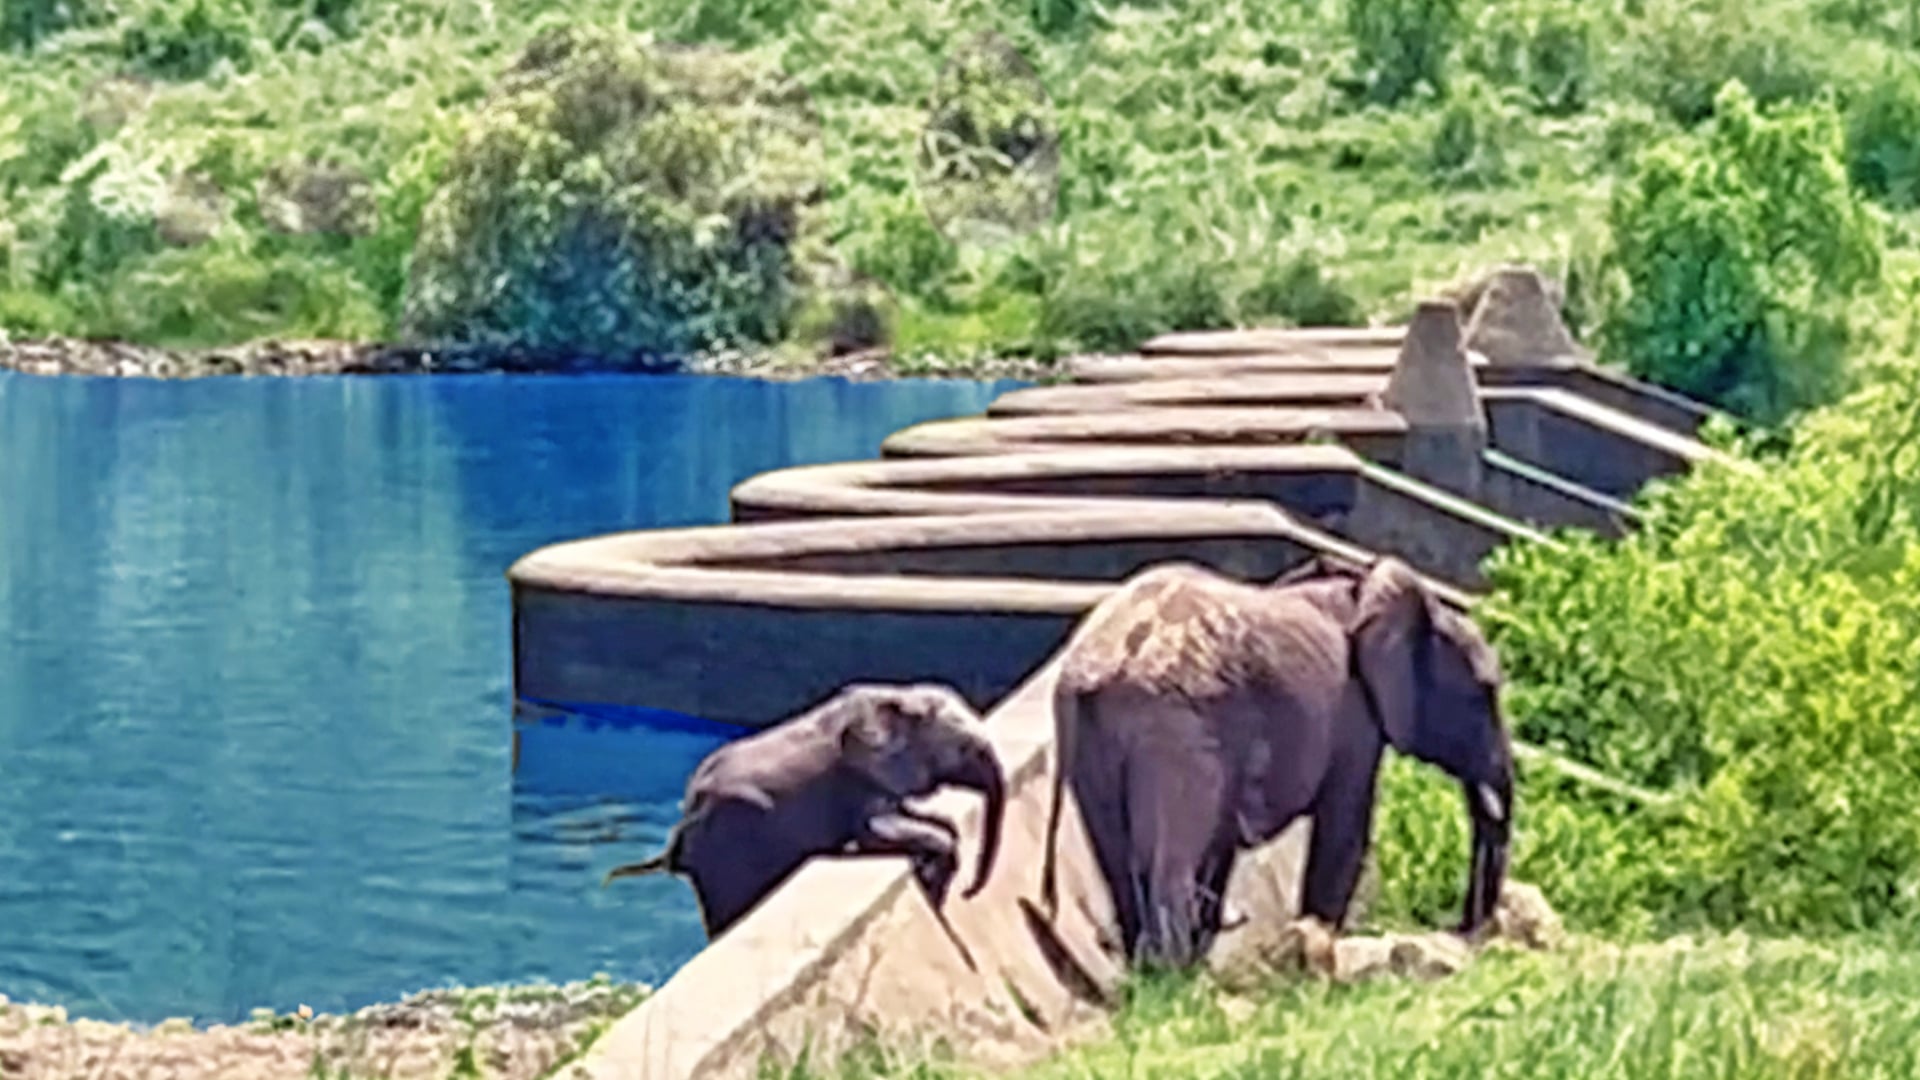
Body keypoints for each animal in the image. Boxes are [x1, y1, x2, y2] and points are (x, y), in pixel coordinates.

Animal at [602, 681, 1008, 939]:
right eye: (965, 749)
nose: (969, 894)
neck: (899, 698)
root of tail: (679, 837)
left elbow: (932, 821)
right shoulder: (853, 780)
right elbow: (877, 831)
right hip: (726, 853)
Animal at [1036, 555, 1514, 970]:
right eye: (1484, 694)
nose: (1465, 928)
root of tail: (1098, 665)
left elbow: (1223, 845)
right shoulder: (1353, 712)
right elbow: (1345, 832)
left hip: (1102, 743)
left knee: (1117, 864)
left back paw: (1153, 975)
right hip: (1177, 730)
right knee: (1170, 865)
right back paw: (1172, 984)